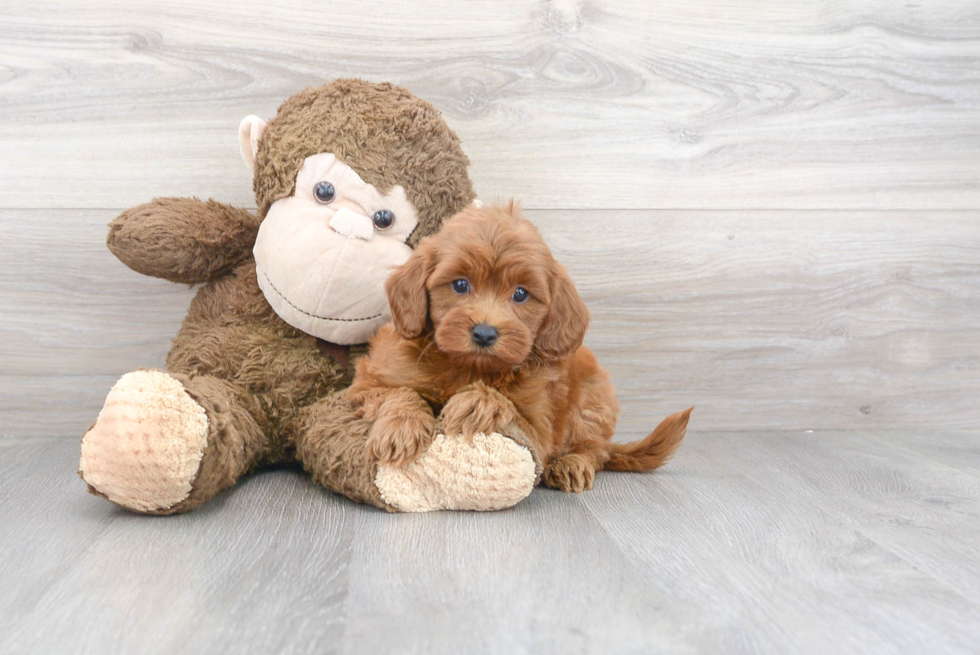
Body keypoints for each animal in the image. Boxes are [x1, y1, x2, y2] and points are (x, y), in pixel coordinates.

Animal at [346, 202, 688, 494]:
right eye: (460, 284)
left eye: (521, 294)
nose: (484, 333)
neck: (468, 367)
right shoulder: (366, 385)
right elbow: (399, 392)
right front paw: (400, 428)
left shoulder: (539, 431)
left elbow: (507, 403)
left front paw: (478, 402)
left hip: (593, 400)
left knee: (595, 450)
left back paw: (572, 464)